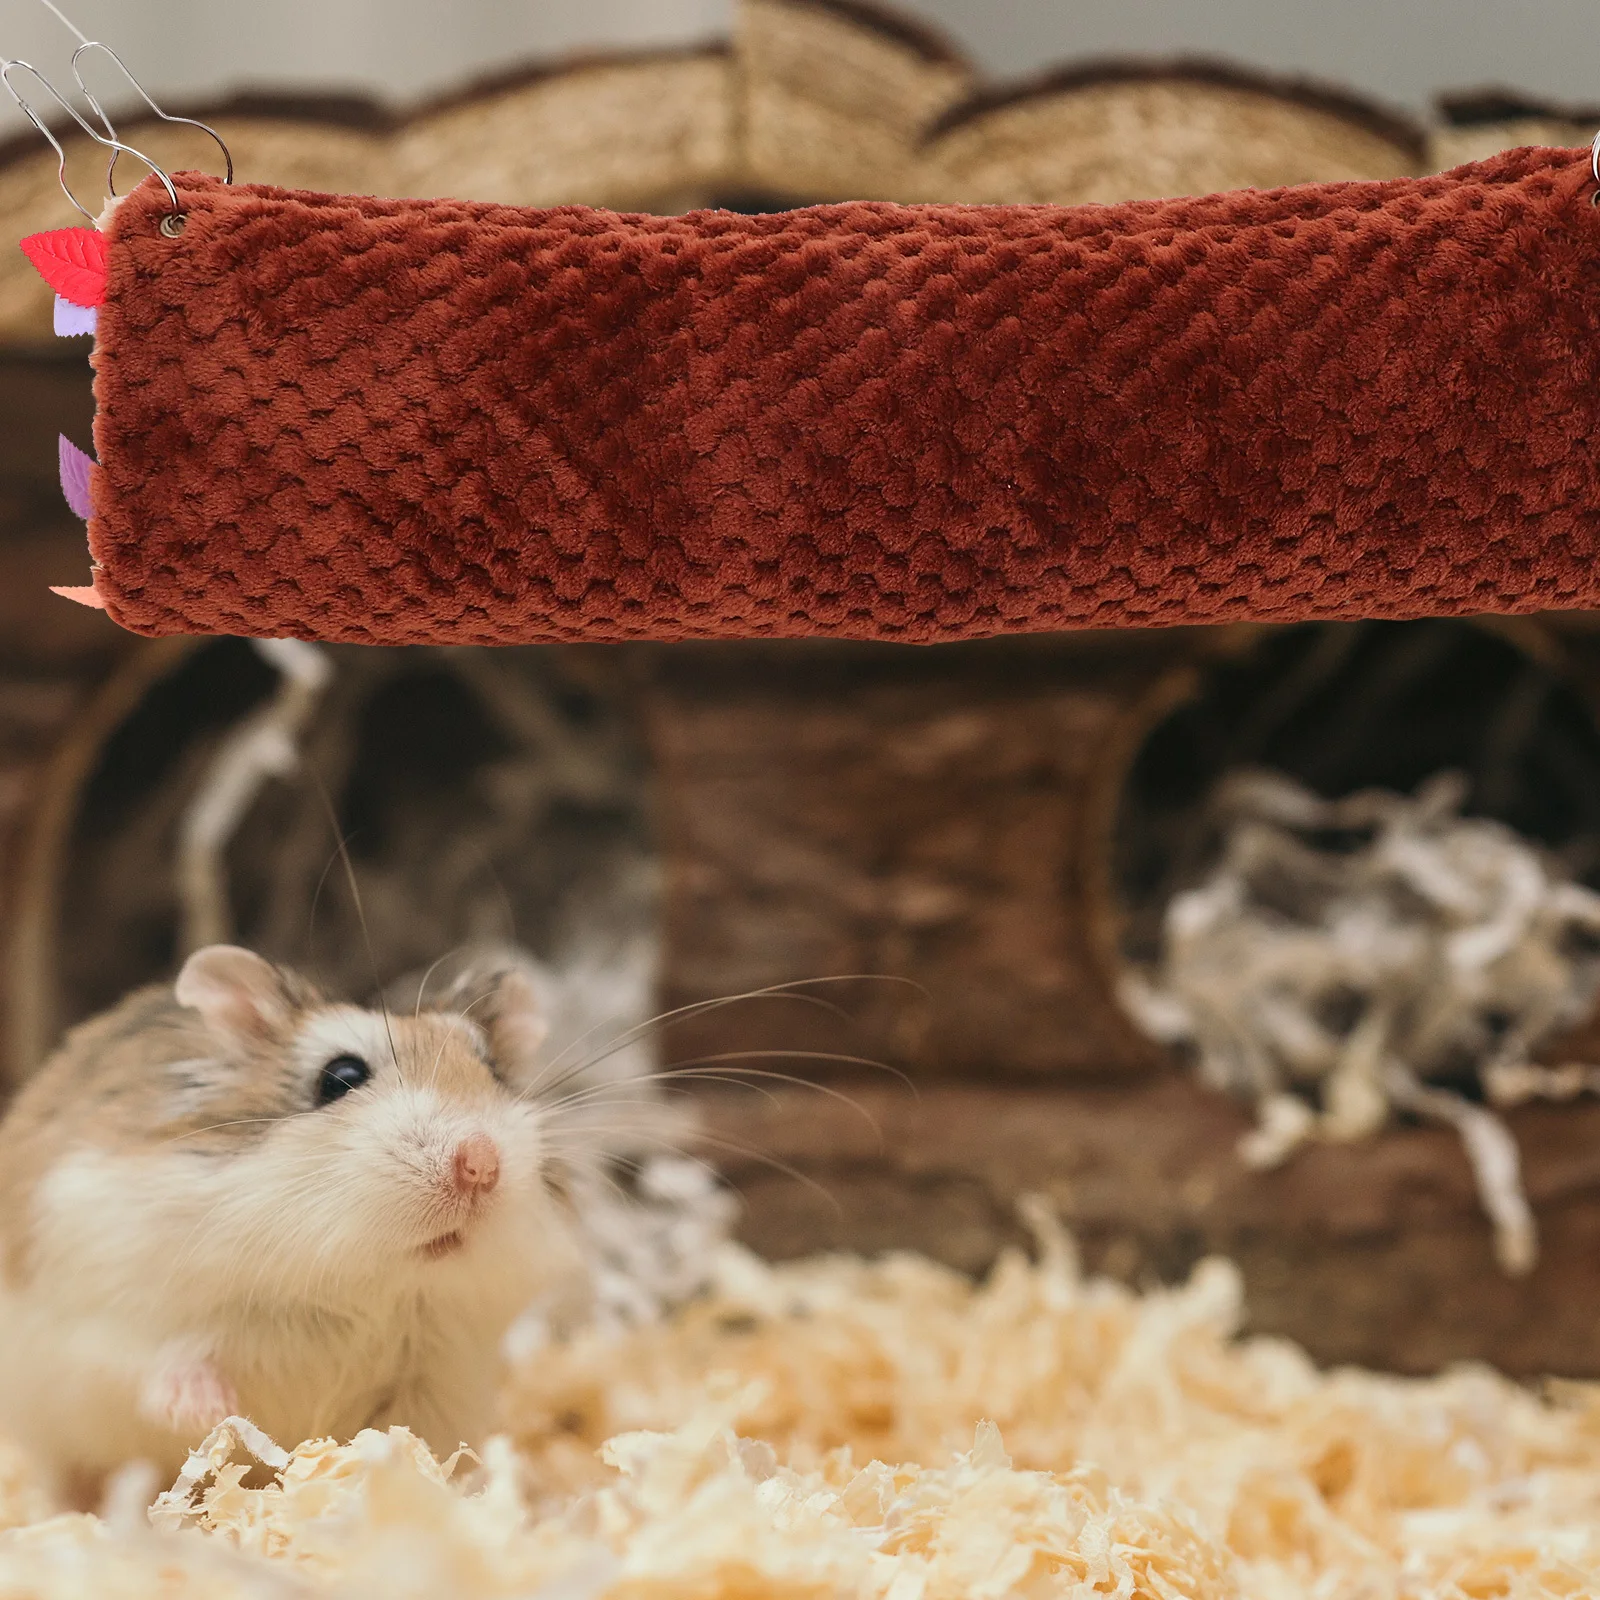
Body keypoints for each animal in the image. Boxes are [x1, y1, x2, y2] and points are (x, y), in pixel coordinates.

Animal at [0, 944, 598, 1505]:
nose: (481, 1164)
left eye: (493, 1072)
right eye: (342, 1077)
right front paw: (209, 1411)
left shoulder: (438, 1377)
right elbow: (158, 1361)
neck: (359, 1285)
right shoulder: (108, 1307)